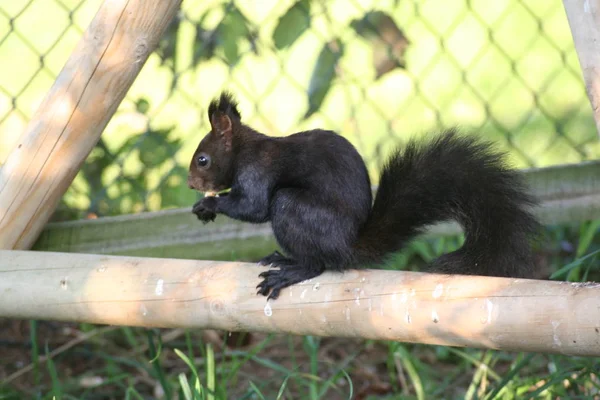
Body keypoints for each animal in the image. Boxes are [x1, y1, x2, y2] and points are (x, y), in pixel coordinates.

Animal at [188, 93, 540, 300]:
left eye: (203, 159)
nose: (191, 183)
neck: (244, 149)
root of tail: (348, 246)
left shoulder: (257, 172)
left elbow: (254, 207)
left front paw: (209, 203)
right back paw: (284, 258)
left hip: (293, 208)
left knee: (319, 263)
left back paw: (293, 271)